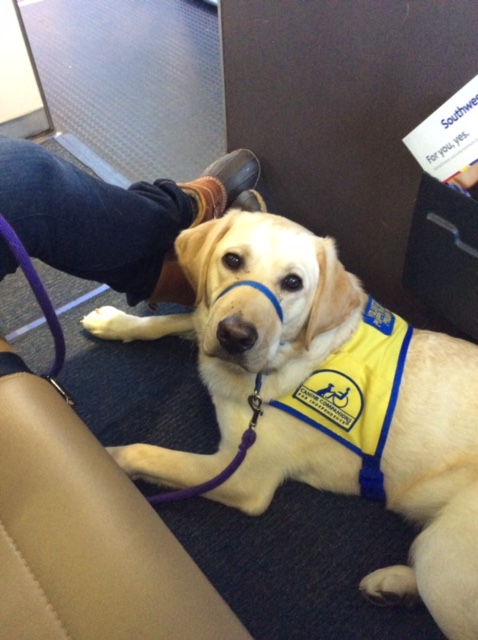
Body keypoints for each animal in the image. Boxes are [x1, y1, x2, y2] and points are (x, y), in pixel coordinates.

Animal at [82, 211, 478, 640]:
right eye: (233, 260)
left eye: (292, 283)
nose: (235, 335)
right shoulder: (208, 322)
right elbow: (179, 317)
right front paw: (119, 323)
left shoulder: (242, 475)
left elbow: (145, 452)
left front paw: (102, 457)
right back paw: (393, 586)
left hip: (443, 554)